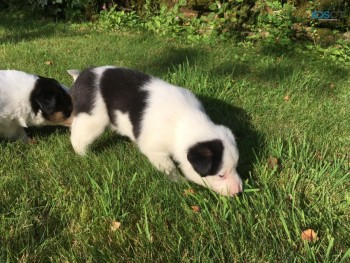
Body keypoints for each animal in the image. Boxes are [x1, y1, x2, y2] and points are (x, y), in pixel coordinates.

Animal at [68, 67, 243, 197]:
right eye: (221, 175)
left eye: (236, 167)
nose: (239, 191)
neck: (187, 121)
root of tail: (81, 75)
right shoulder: (156, 150)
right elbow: (169, 167)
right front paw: (179, 182)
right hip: (92, 119)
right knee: (77, 137)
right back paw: (85, 156)